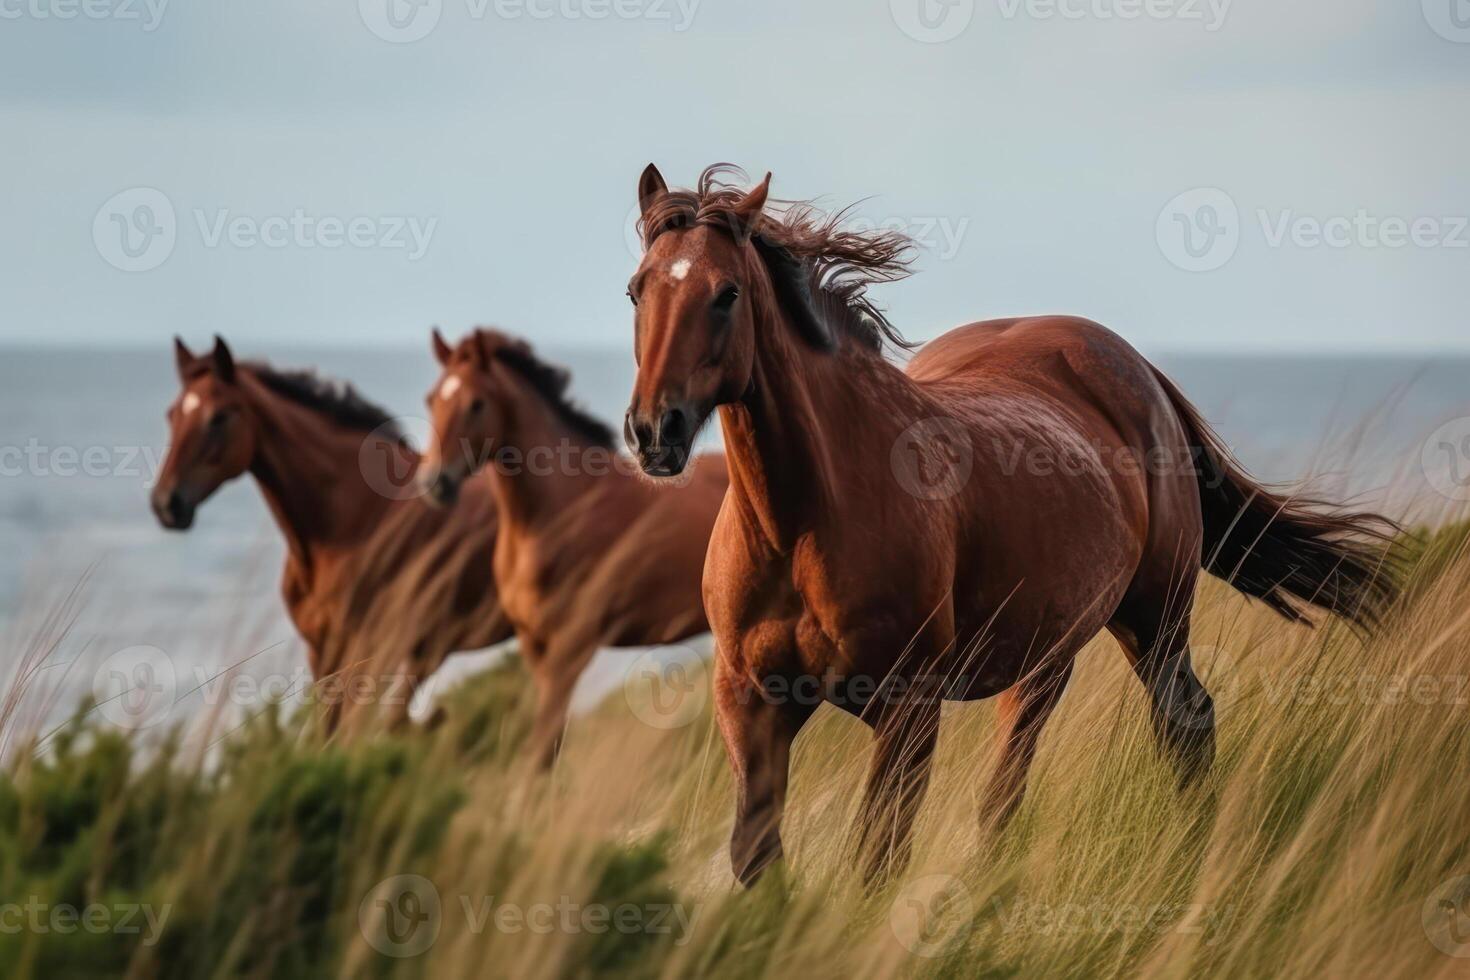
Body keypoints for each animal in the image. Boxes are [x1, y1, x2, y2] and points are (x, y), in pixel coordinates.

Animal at [417, 327, 726, 764]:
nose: (434, 483)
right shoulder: (534, 646)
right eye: (432, 399)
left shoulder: (570, 649)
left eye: (476, 403)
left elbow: (542, 750)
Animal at [623, 164, 1399, 887]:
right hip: (1047, 658)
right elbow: (756, 856)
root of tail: (1140, 372)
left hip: (1155, 623)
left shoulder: (907, 708)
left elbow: (878, 858)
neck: (804, 523)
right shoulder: (750, 703)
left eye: (728, 293)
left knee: (1181, 727)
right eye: (637, 290)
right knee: (1010, 793)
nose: (654, 431)